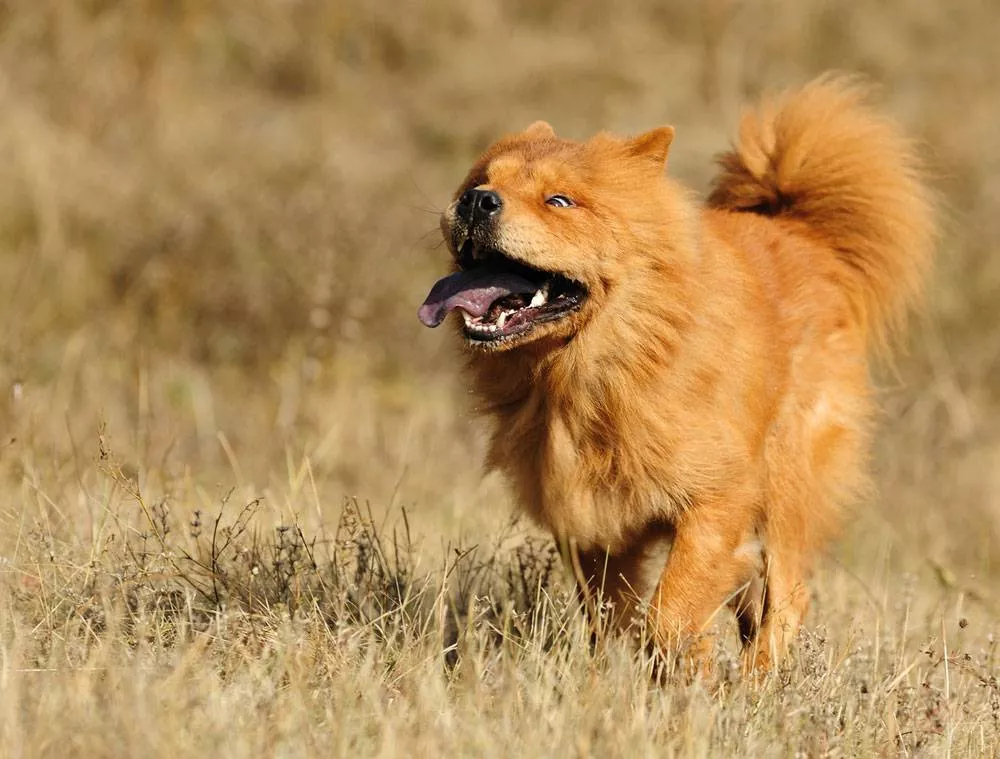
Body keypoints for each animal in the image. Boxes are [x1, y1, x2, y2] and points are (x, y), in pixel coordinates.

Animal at [416, 75, 936, 672]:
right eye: (479, 182)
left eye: (559, 201)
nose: (476, 201)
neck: (591, 372)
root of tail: (802, 234)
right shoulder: (595, 525)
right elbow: (618, 617)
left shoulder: (717, 499)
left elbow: (672, 610)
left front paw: (691, 676)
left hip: (788, 485)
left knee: (788, 597)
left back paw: (759, 685)